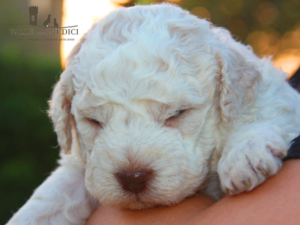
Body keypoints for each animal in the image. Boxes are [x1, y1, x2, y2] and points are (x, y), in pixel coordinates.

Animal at [6, 3, 300, 225]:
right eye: (94, 121)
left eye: (178, 113)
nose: (132, 178)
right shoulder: (83, 162)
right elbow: (56, 193)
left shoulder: (276, 98)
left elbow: (266, 111)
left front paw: (245, 154)